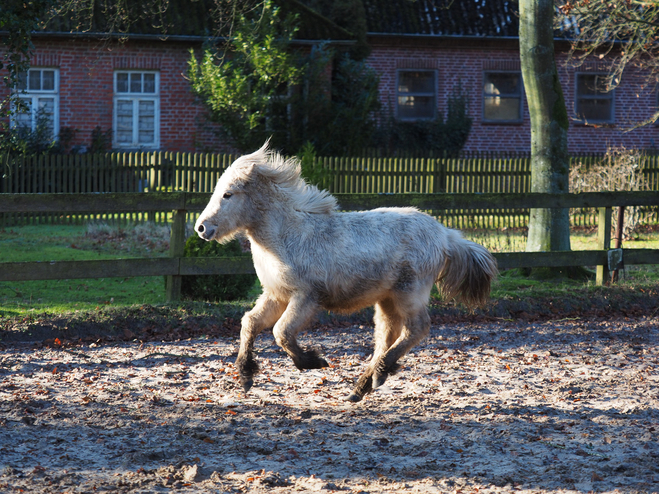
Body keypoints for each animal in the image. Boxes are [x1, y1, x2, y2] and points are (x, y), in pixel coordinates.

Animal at [195, 142, 496, 402]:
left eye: (228, 194)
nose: (201, 228)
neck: (287, 235)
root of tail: (445, 235)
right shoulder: (276, 296)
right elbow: (250, 322)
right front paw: (246, 376)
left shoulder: (306, 298)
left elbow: (281, 332)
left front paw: (313, 362)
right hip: (387, 300)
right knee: (387, 337)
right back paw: (364, 385)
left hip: (410, 292)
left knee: (417, 328)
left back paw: (380, 374)